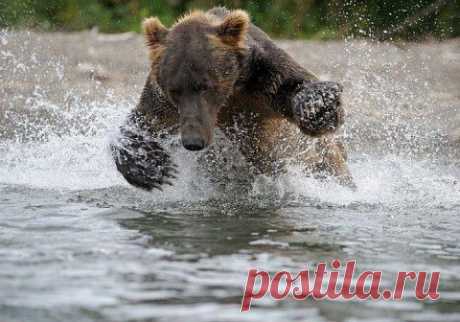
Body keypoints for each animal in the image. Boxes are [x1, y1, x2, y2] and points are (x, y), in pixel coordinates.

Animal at [111, 6, 352, 191]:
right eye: (174, 90)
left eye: (205, 86)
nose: (192, 141)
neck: (231, 93)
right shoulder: (164, 102)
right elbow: (143, 121)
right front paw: (153, 167)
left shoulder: (262, 77)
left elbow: (295, 86)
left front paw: (316, 107)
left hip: (321, 160)